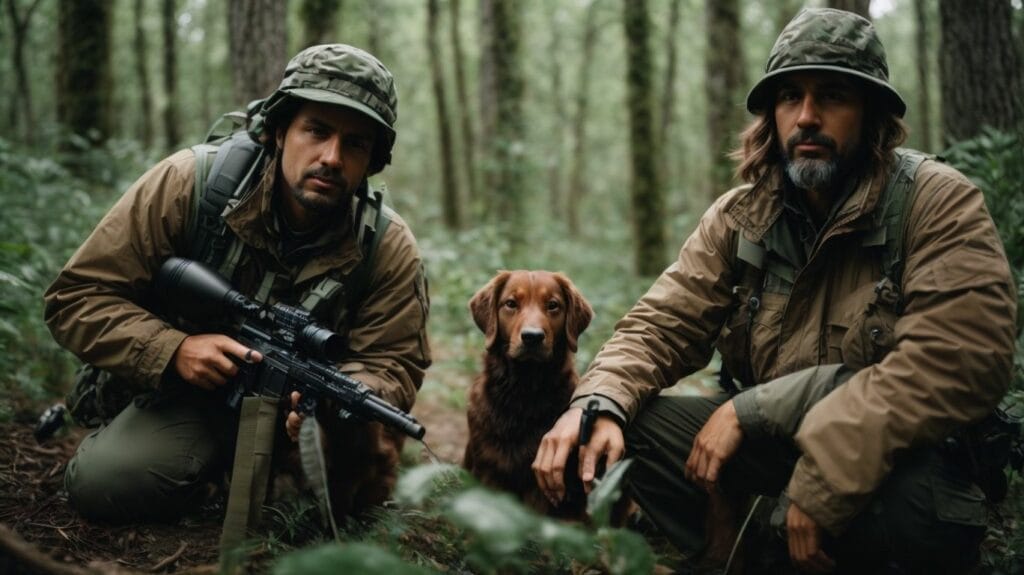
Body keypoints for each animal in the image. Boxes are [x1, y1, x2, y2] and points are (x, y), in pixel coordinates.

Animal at [464, 268, 593, 515]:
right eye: (511, 303)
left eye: (553, 305)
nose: (532, 337)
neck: (523, 392)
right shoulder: (489, 470)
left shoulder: (541, 484)